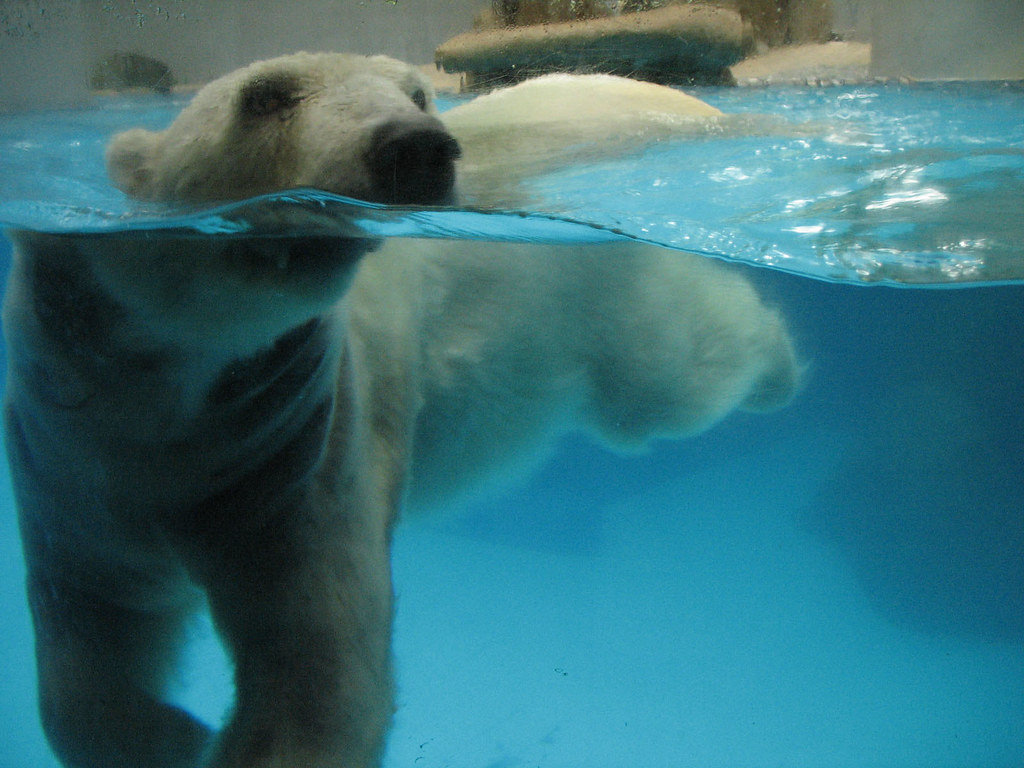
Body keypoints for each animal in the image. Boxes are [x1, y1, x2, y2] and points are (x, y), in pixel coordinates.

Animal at [2, 52, 799, 768]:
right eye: (264, 96)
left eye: (418, 92)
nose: (415, 146)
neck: (172, 396)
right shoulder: (73, 457)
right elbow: (91, 622)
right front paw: (173, 736)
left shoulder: (291, 445)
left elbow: (317, 659)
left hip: (603, 292)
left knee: (671, 375)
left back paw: (780, 369)